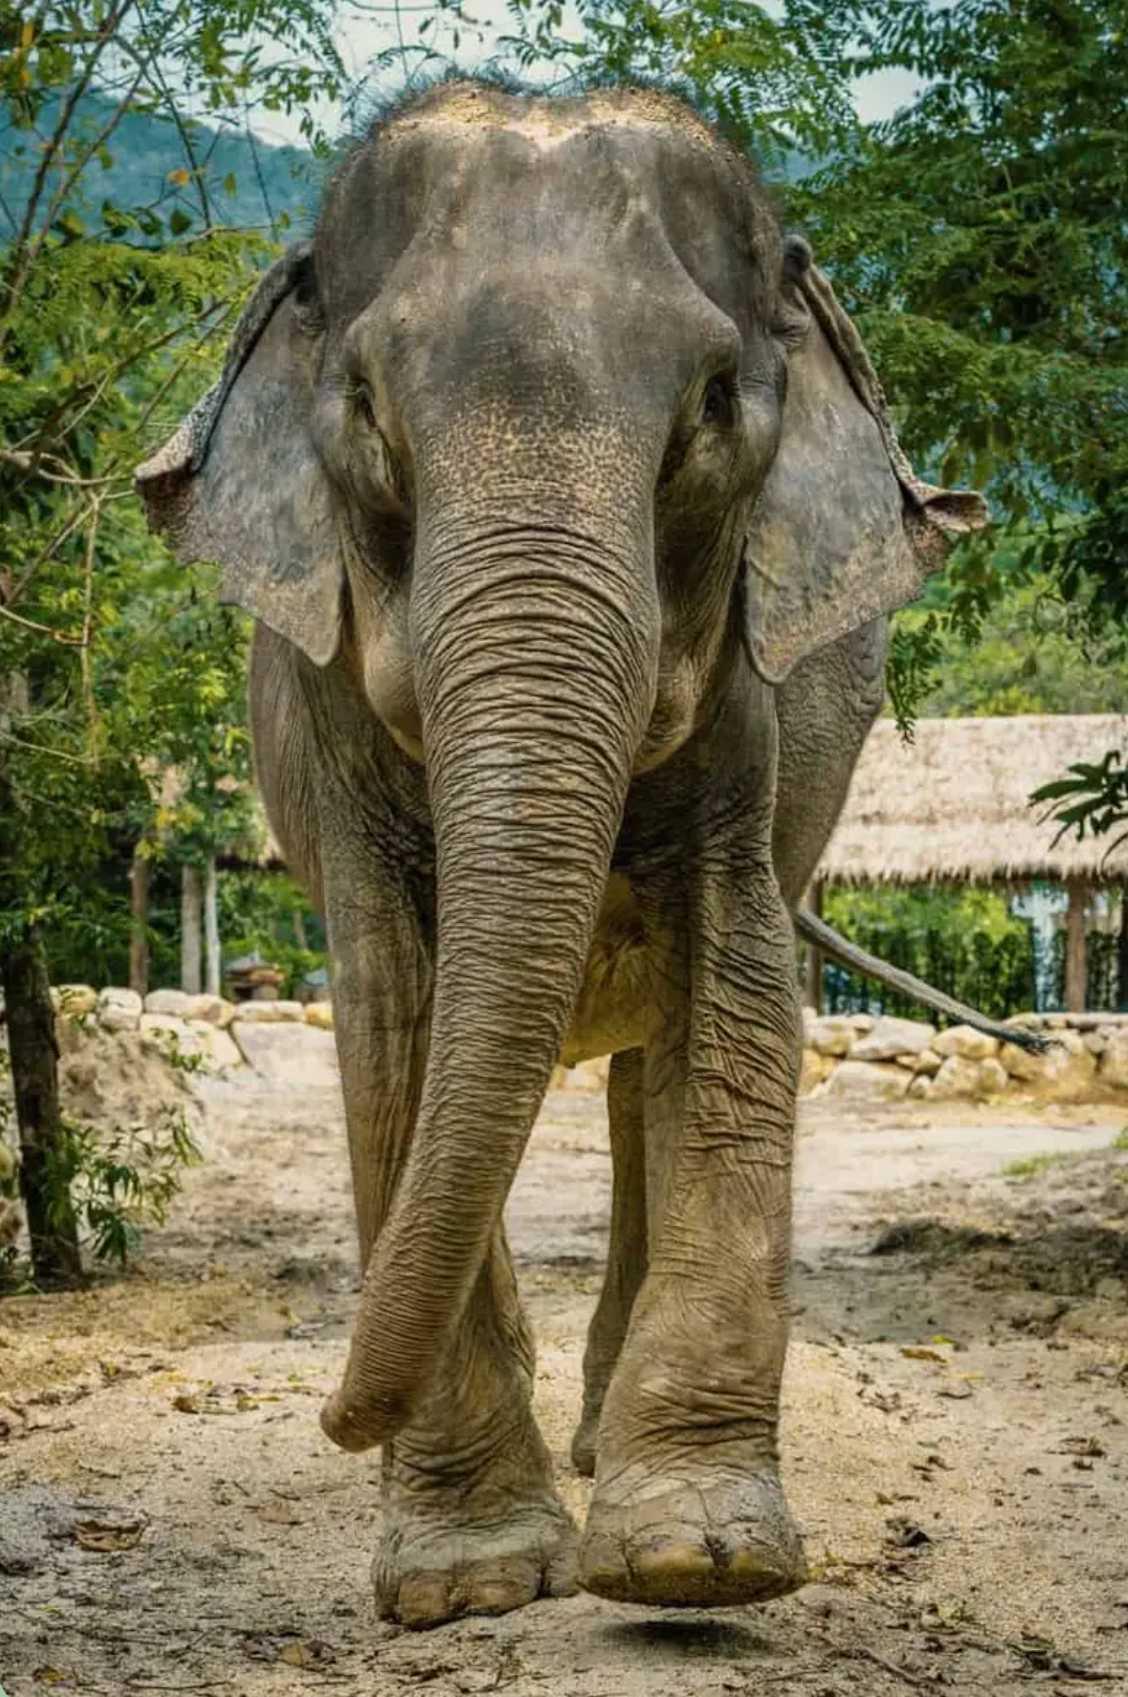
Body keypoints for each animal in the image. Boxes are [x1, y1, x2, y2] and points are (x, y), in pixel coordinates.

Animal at [136, 80, 988, 1628]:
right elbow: (394, 1023)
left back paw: (600, 1445)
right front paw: (466, 1582)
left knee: (650, 1067)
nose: (336, 1411)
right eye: (364, 406)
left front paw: (697, 1563)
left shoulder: (751, 711)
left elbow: (736, 989)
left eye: (713, 404)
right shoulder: (327, 722)